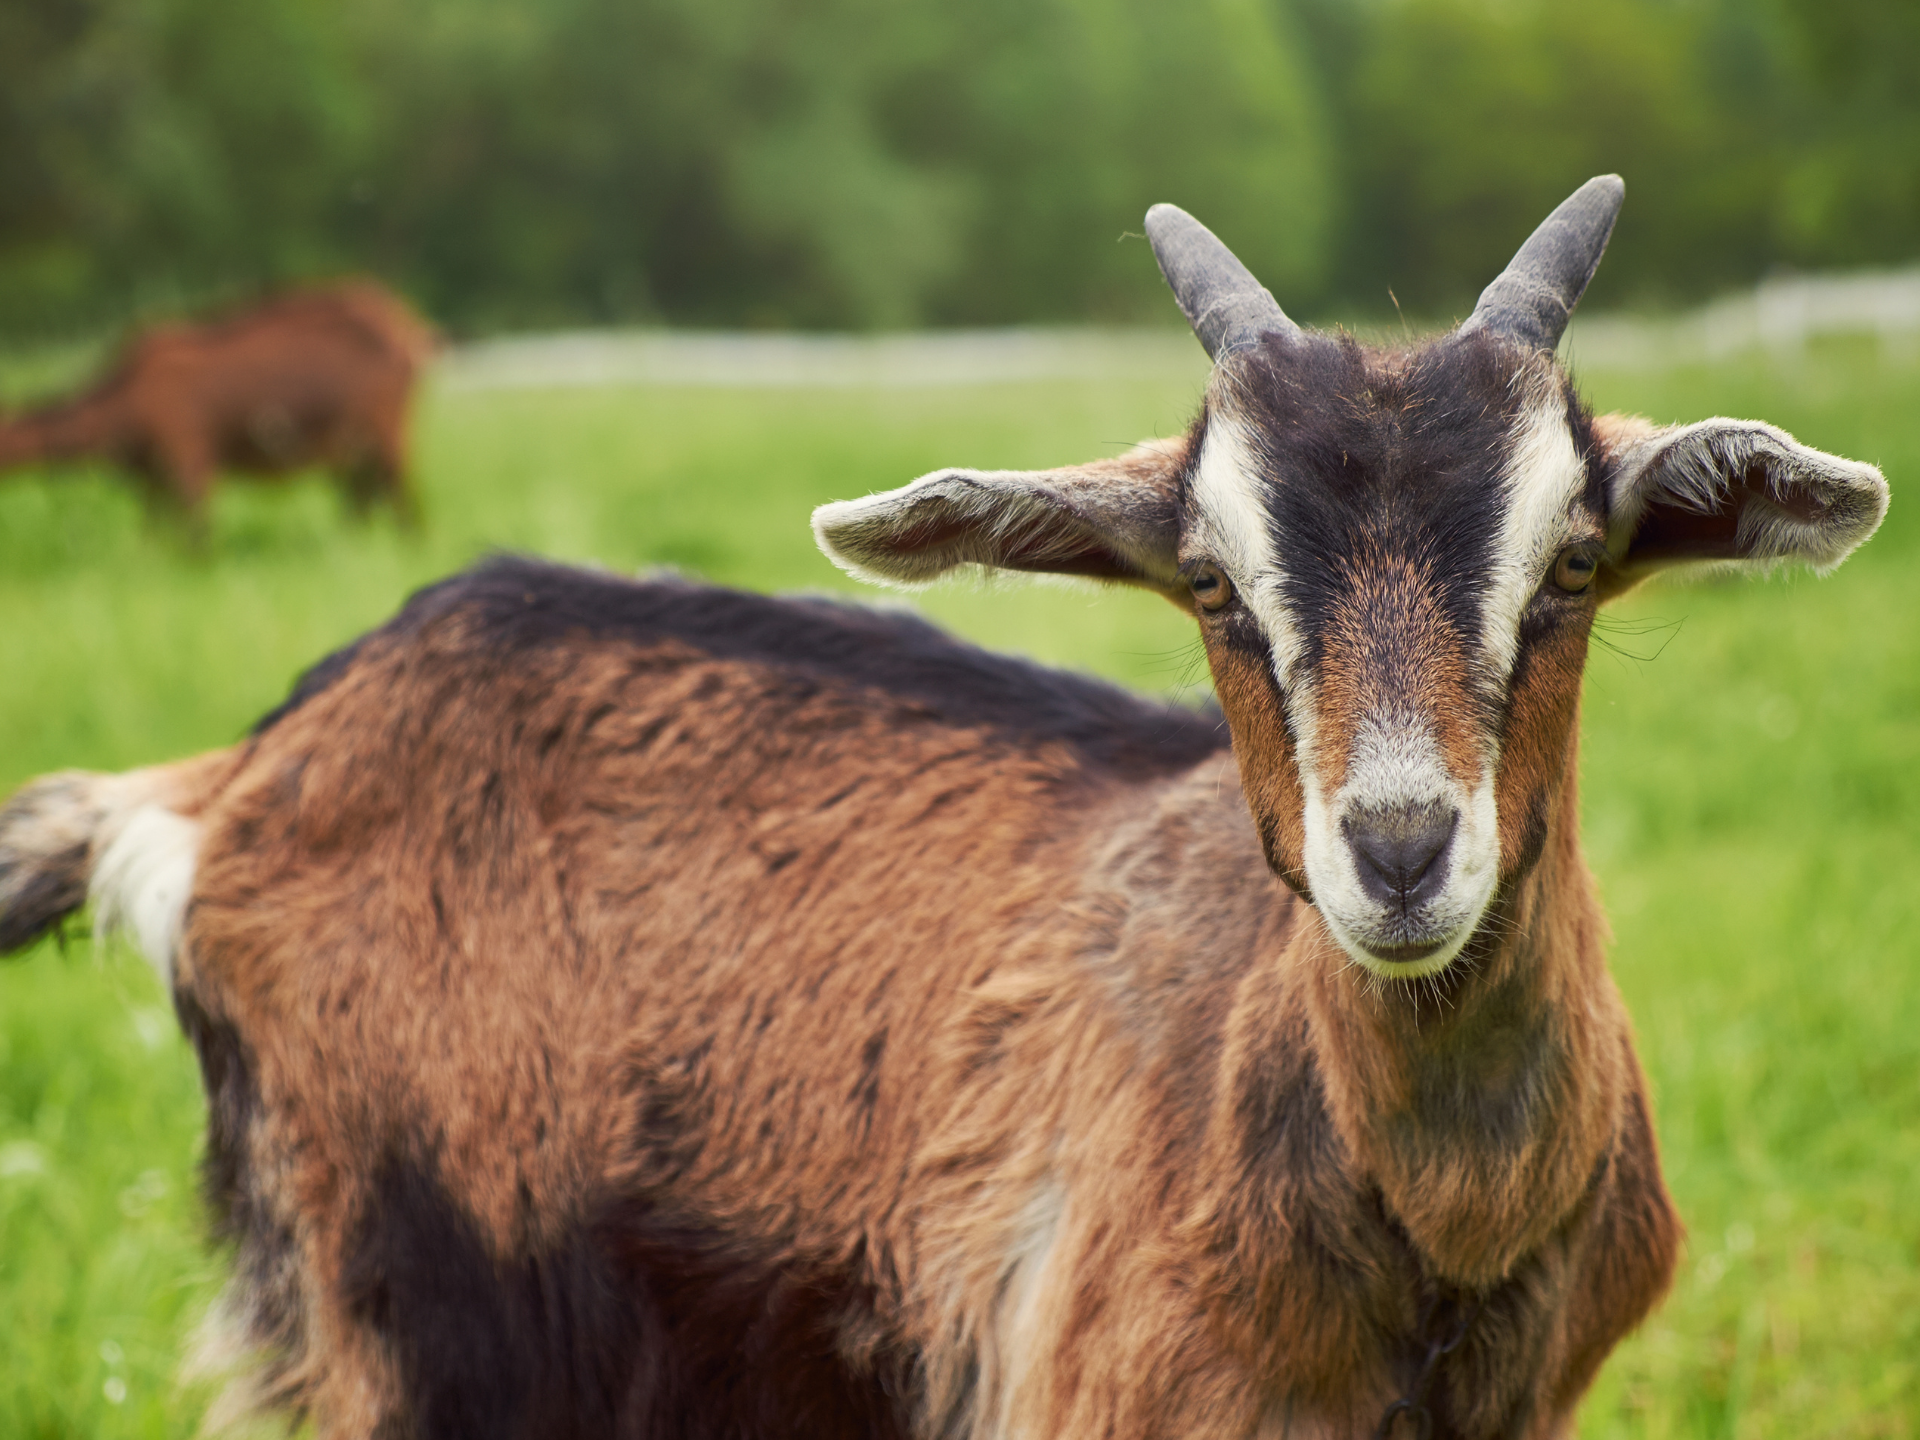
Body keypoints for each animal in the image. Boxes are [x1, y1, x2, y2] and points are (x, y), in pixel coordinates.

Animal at [0, 279, 435, 531]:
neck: (124, 400)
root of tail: (408, 327)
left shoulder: (188, 455)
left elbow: (198, 534)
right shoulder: (152, 477)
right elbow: (155, 535)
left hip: (387, 431)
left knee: (404, 502)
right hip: (354, 446)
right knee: (363, 499)